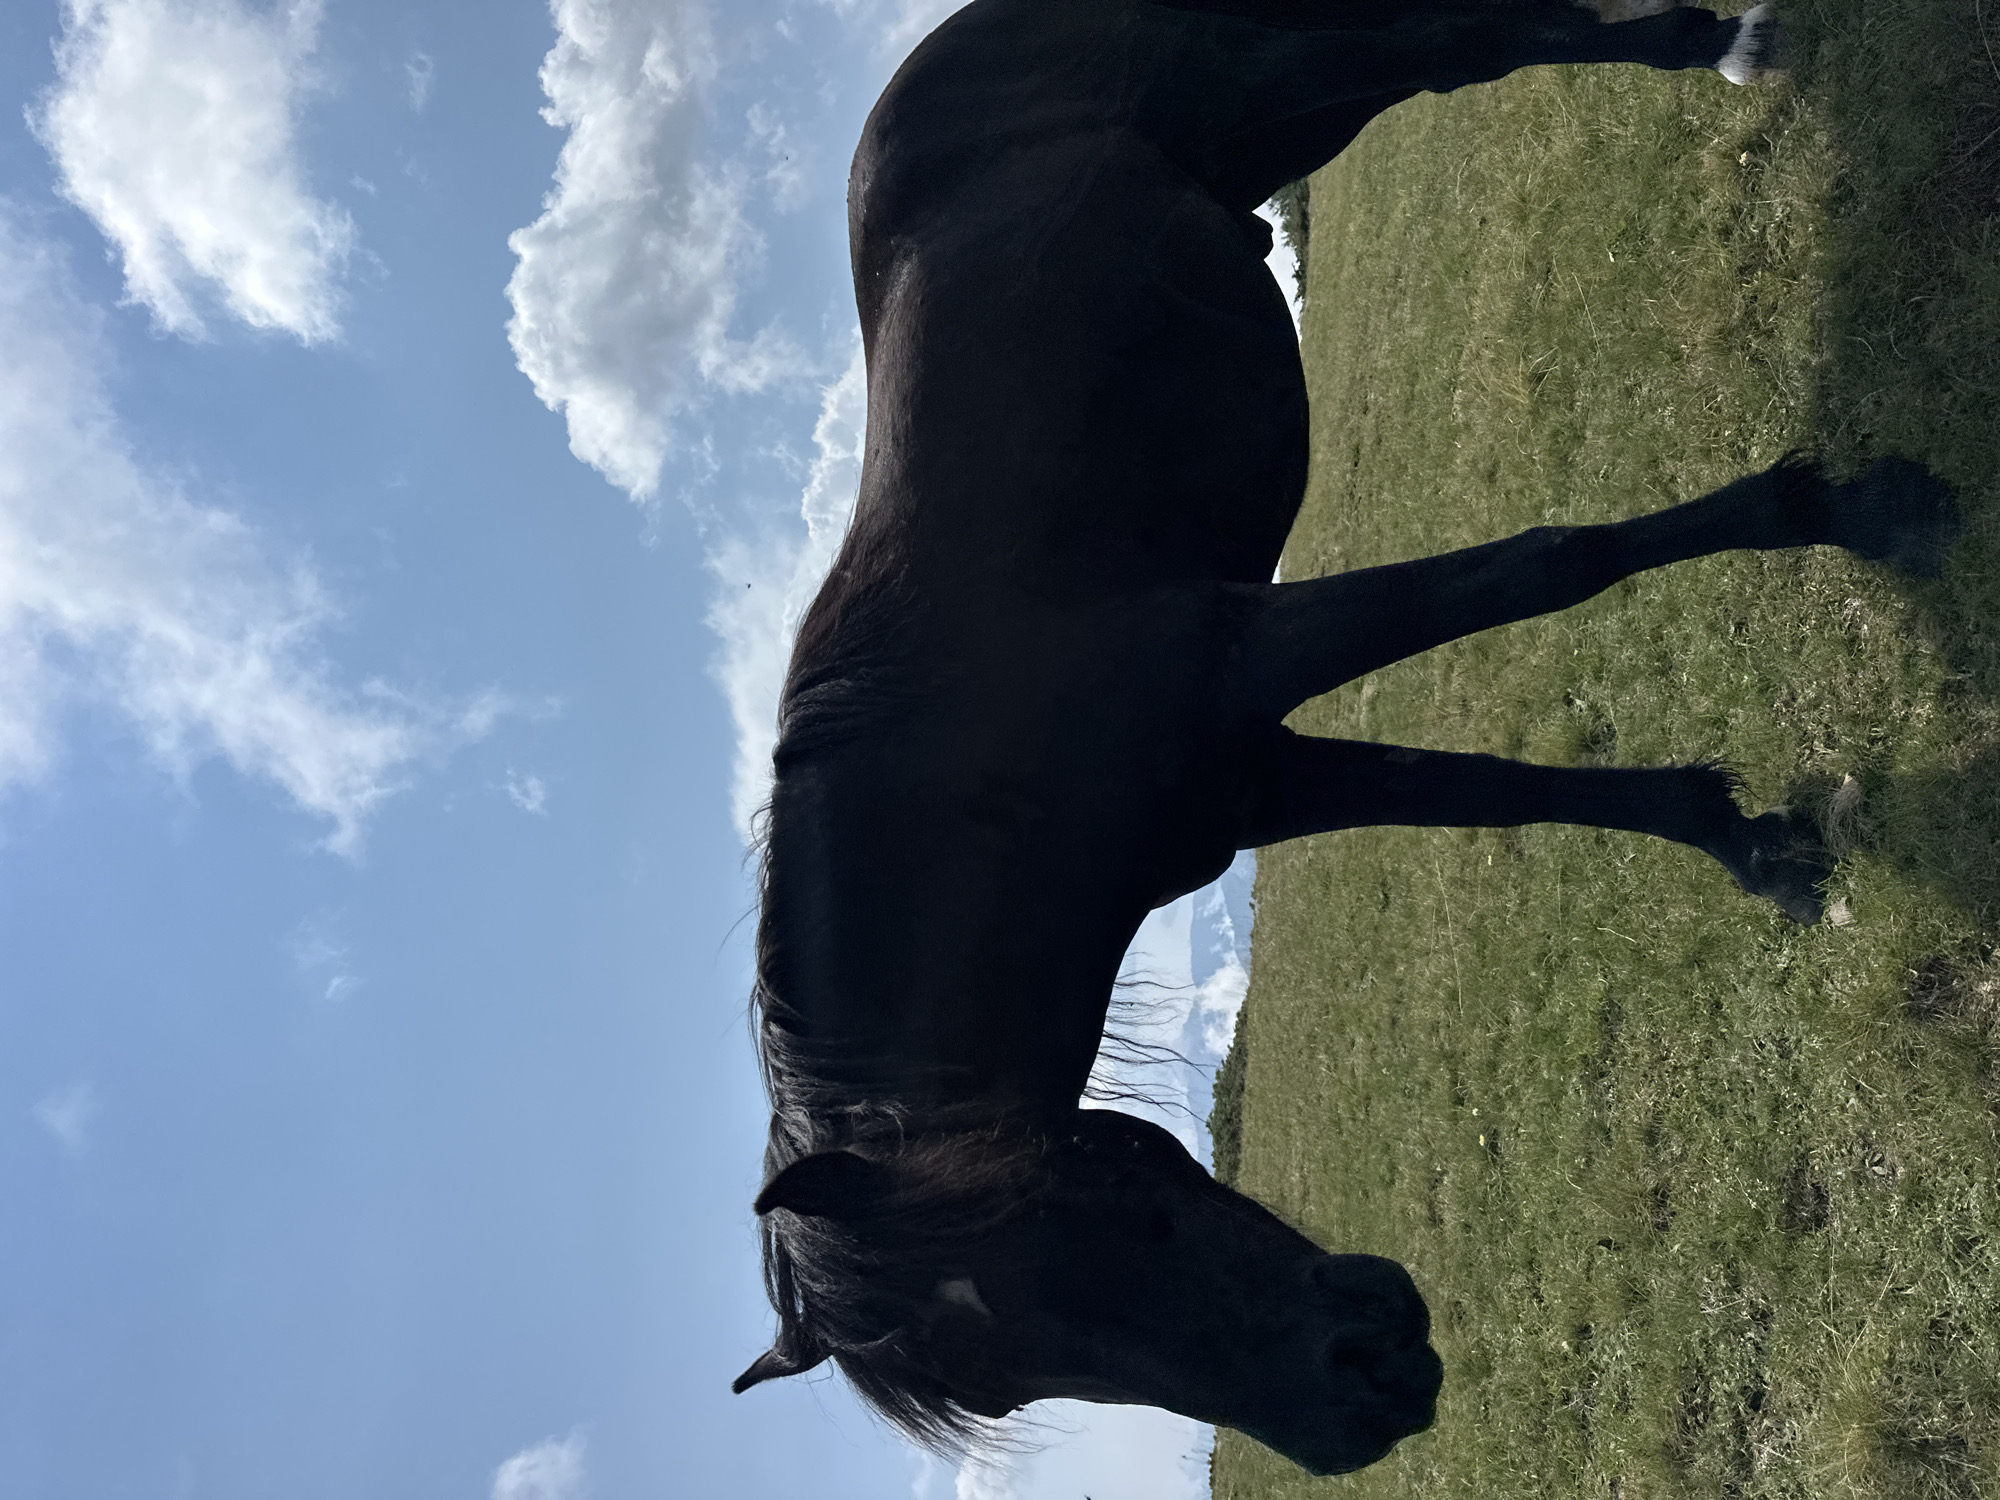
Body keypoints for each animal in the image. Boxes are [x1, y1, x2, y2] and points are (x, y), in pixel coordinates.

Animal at [731, 0, 1962, 1477]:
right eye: (1015, 1377)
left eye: (1088, 1215)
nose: (1362, 1399)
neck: (976, 759)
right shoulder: (1250, 780)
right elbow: (1485, 794)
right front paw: (1746, 840)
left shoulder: (1250, 655)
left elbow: (1543, 571)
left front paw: (1855, 506)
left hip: (1297, 82)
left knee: (1467, 53)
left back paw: (1729, 48)